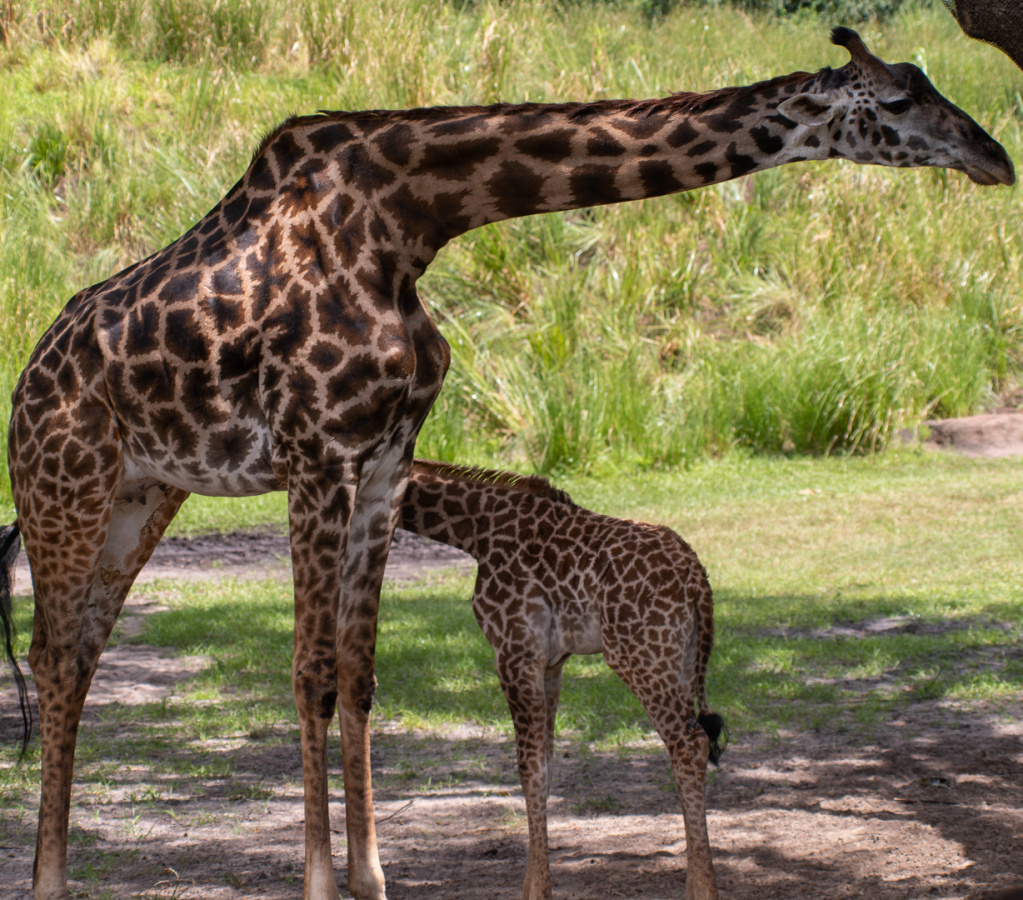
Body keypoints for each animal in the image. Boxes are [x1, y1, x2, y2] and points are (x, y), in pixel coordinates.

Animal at [399, 459, 725, 900]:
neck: (477, 530)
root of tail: (696, 577)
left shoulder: (514, 651)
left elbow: (529, 767)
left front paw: (536, 890)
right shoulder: (552, 662)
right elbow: (548, 764)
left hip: (638, 655)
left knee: (688, 745)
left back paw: (703, 890)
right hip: (684, 656)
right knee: (695, 740)